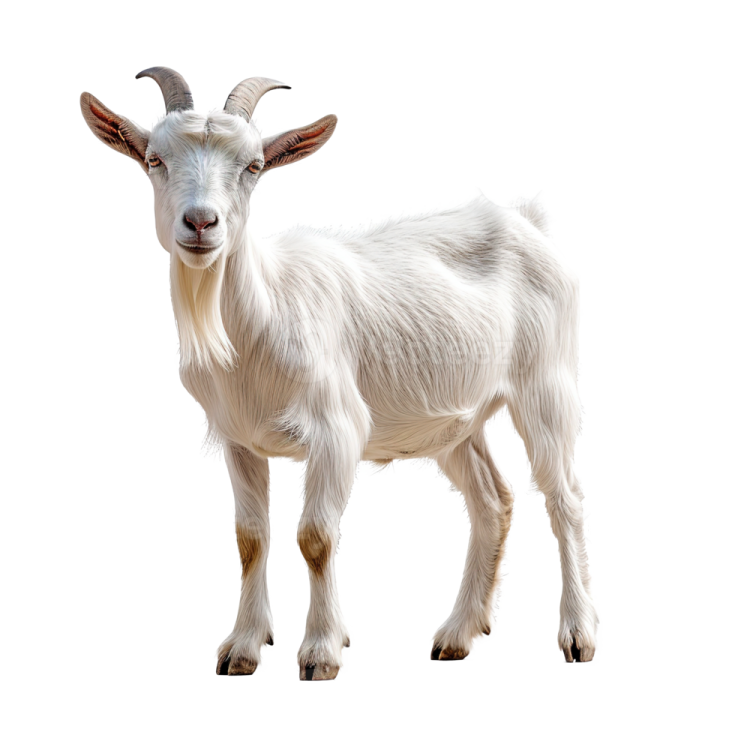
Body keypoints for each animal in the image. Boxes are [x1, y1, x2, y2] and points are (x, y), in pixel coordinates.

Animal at [79, 66, 599, 679]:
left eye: (253, 167)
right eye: (155, 160)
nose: (201, 222)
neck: (261, 314)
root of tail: (530, 223)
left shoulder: (335, 429)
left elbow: (318, 537)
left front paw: (322, 653)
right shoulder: (239, 438)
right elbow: (250, 538)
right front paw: (243, 647)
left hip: (548, 383)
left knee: (565, 498)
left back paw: (578, 636)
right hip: (450, 415)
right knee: (493, 501)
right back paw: (457, 635)